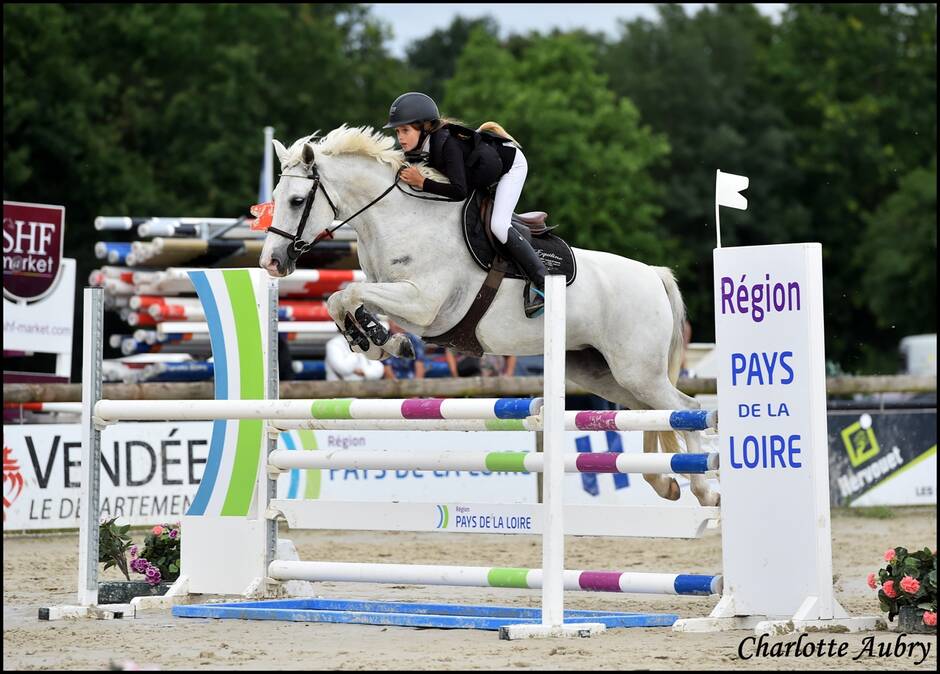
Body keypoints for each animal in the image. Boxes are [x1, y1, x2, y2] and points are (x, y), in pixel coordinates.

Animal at [258, 124, 720, 504]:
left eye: (297, 201)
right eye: (274, 200)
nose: (271, 263)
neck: (401, 220)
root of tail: (652, 274)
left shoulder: (424, 304)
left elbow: (348, 293)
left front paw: (381, 342)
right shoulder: (399, 299)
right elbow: (342, 299)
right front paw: (377, 341)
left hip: (636, 369)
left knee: (684, 408)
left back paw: (703, 490)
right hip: (602, 372)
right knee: (652, 412)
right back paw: (665, 482)